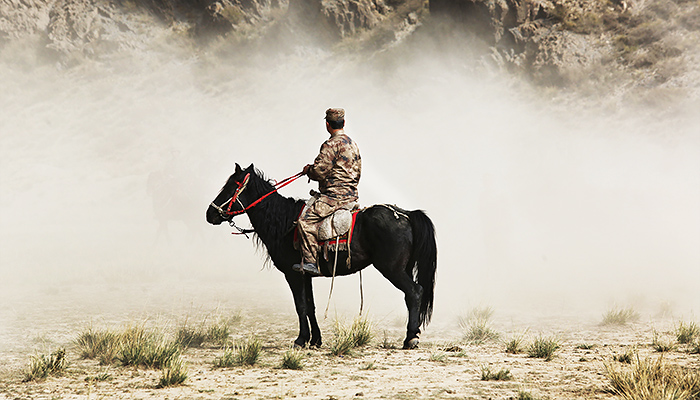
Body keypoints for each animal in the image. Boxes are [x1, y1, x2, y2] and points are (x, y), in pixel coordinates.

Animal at [206, 163, 437, 349]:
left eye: (232, 186)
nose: (210, 213)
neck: (284, 222)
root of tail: (406, 214)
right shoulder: (305, 274)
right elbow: (310, 306)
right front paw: (315, 340)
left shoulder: (293, 275)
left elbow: (301, 305)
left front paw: (300, 340)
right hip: (403, 268)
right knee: (411, 295)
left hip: (392, 269)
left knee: (414, 292)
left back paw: (411, 338)